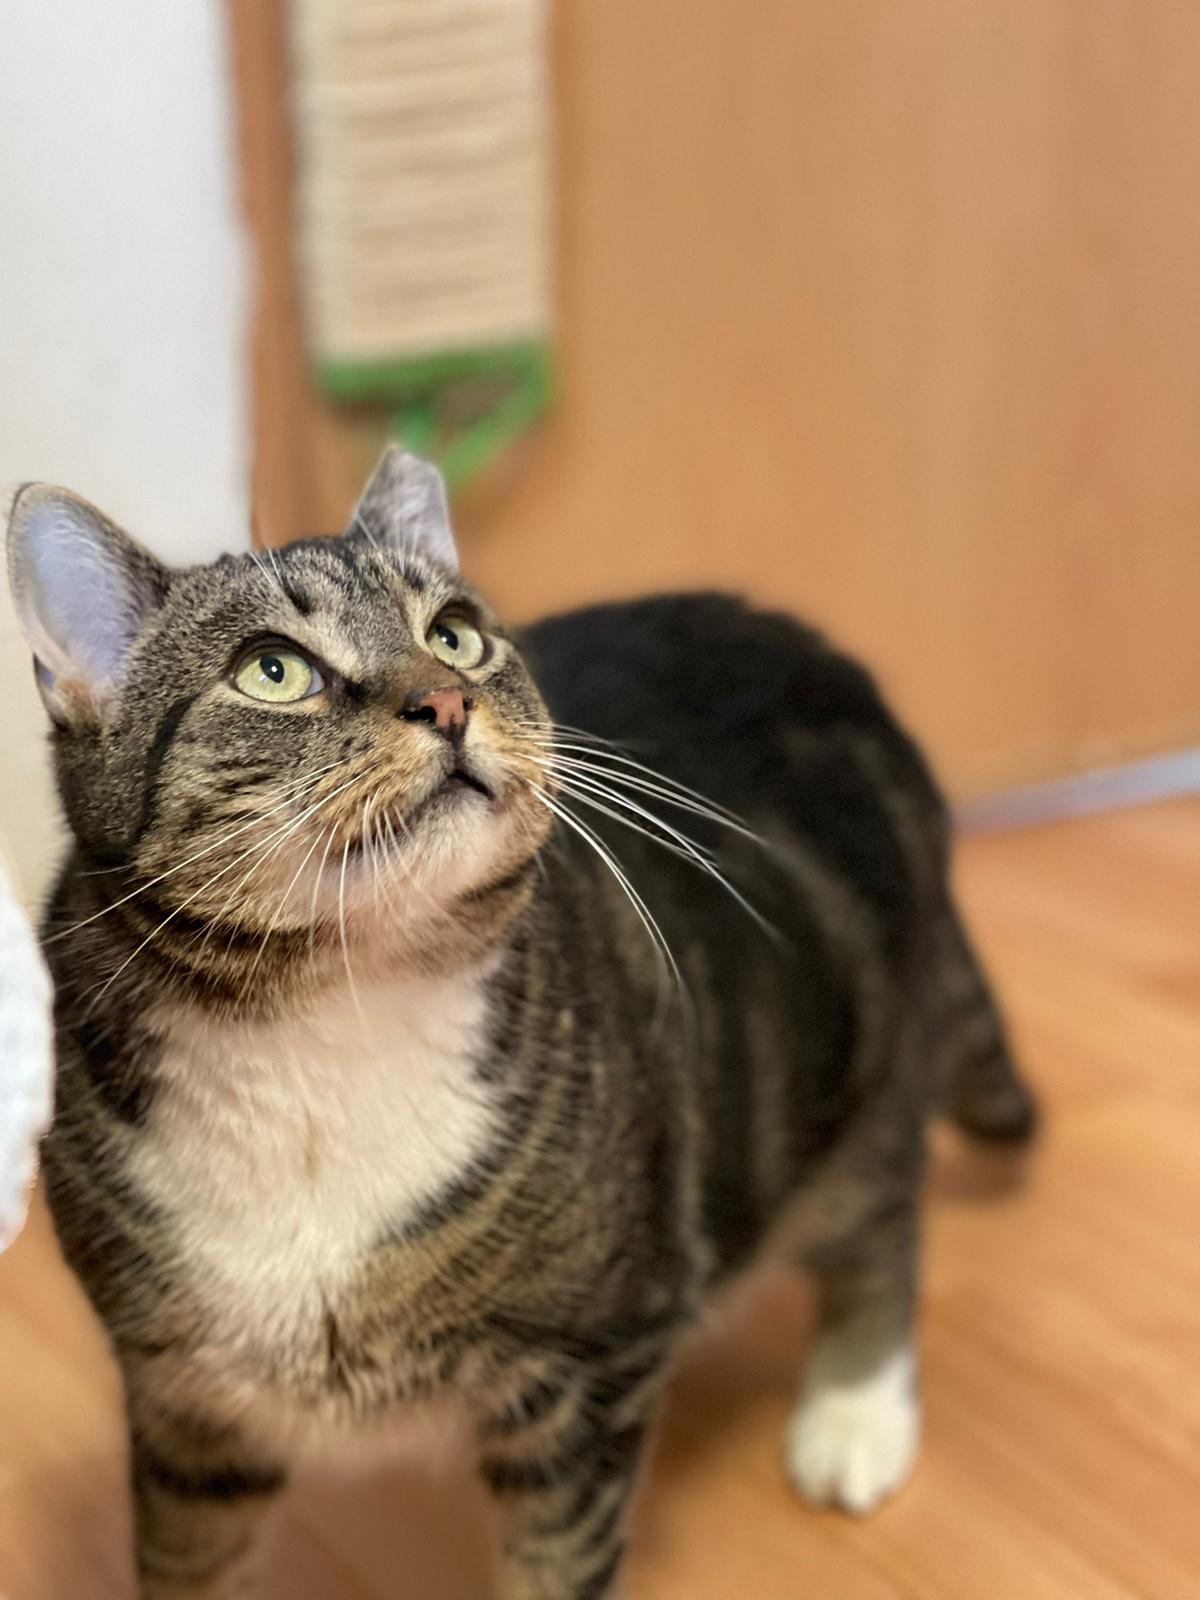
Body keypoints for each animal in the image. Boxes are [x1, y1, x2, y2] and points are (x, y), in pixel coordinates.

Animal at [6, 447, 1035, 1600]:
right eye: (273, 671)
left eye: (455, 632)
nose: (447, 697)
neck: (334, 1010)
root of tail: (820, 650)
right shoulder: (184, 1406)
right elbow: (187, 1562)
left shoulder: (586, 1369)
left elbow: (558, 1563)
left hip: (863, 1062)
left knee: (880, 1221)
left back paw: (855, 1416)